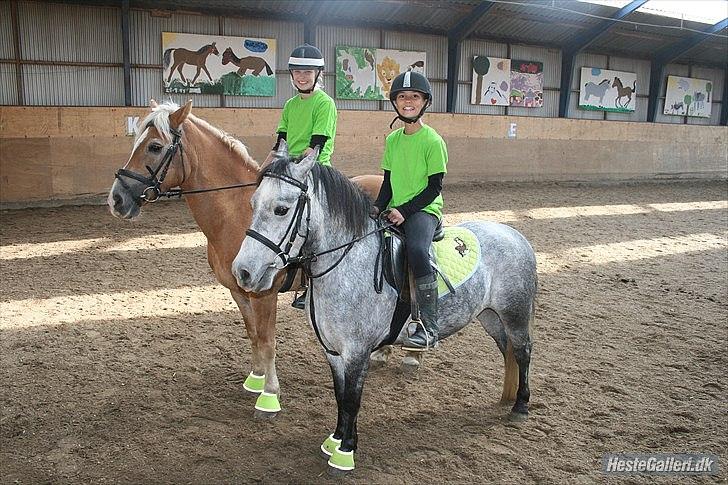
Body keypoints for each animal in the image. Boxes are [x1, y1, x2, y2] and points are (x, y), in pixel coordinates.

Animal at [107, 100, 384, 418]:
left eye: (154, 146)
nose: (116, 199)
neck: (236, 215)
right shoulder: (238, 289)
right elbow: (252, 333)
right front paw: (256, 378)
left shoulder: (264, 293)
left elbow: (267, 340)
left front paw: (270, 395)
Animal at [231, 148, 537, 474]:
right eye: (252, 203)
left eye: (281, 209)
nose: (243, 272)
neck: (347, 264)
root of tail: (514, 234)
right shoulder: (333, 351)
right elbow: (340, 395)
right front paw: (334, 439)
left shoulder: (357, 351)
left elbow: (352, 400)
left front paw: (345, 453)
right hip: (490, 316)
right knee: (507, 351)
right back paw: (507, 397)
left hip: (515, 314)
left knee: (522, 352)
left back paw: (520, 406)